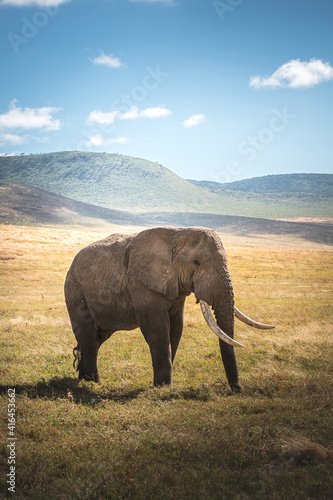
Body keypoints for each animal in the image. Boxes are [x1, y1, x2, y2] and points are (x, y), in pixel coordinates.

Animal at [64, 228, 272, 394]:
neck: (177, 234)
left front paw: (163, 386)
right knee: (89, 337)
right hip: (74, 291)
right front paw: (163, 387)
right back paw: (93, 384)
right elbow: (158, 330)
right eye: (196, 262)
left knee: (97, 338)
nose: (237, 389)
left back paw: (83, 378)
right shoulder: (140, 283)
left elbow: (176, 329)